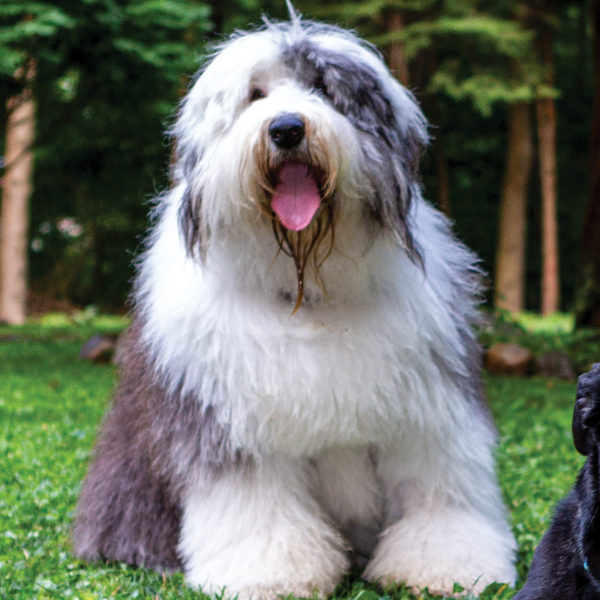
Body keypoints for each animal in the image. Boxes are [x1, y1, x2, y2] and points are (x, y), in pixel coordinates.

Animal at [74, 11, 516, 596]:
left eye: (324, 89)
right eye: (255, 94)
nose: (286, 128)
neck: (307, 290)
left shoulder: (429, 409)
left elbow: (437, 488)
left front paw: (446, 565)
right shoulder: (232, 425)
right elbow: (257, 507)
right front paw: (271, 573)